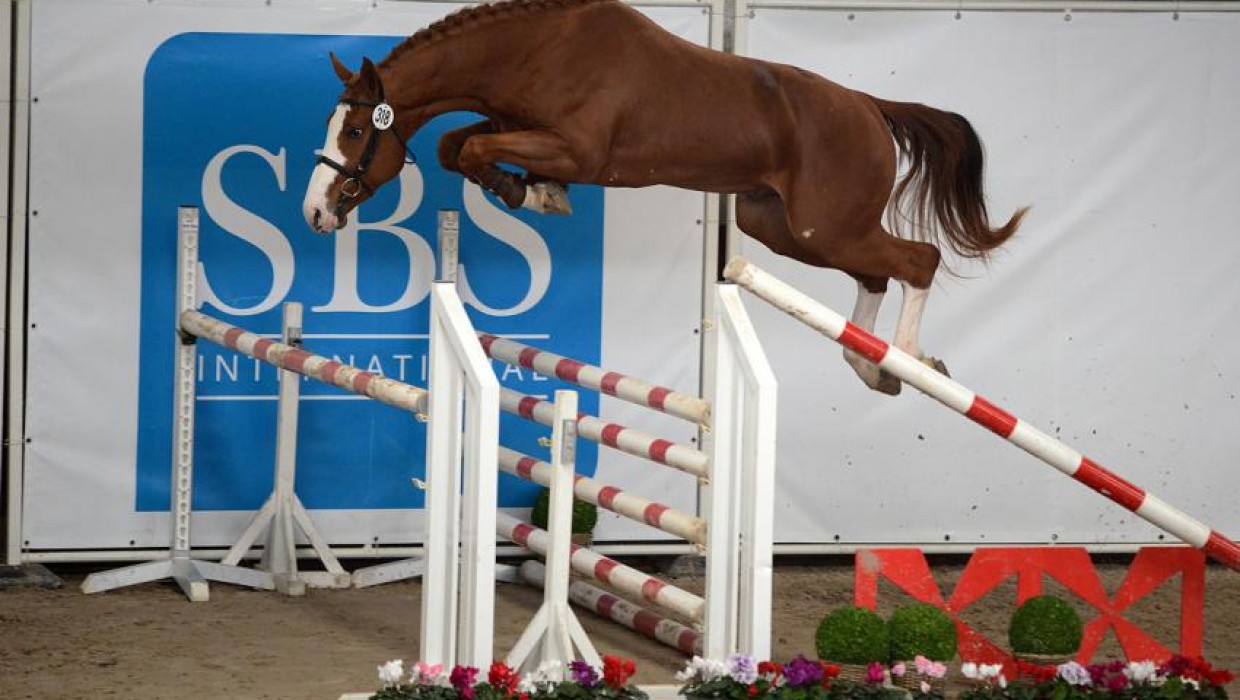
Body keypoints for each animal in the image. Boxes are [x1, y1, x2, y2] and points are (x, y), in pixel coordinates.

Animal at [301, 0, 1027, 396]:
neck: (539, 50)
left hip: (825, 226)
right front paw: (529, 190)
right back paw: (874, 366)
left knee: (918, 261)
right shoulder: (511, 125)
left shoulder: (580, 149)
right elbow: (459, 146)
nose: (315, 211)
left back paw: (906, 361)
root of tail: (871, 108)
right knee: (876, 274)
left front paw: (534, 194)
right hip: (782, 228)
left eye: (357, 131)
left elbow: (471, 149)